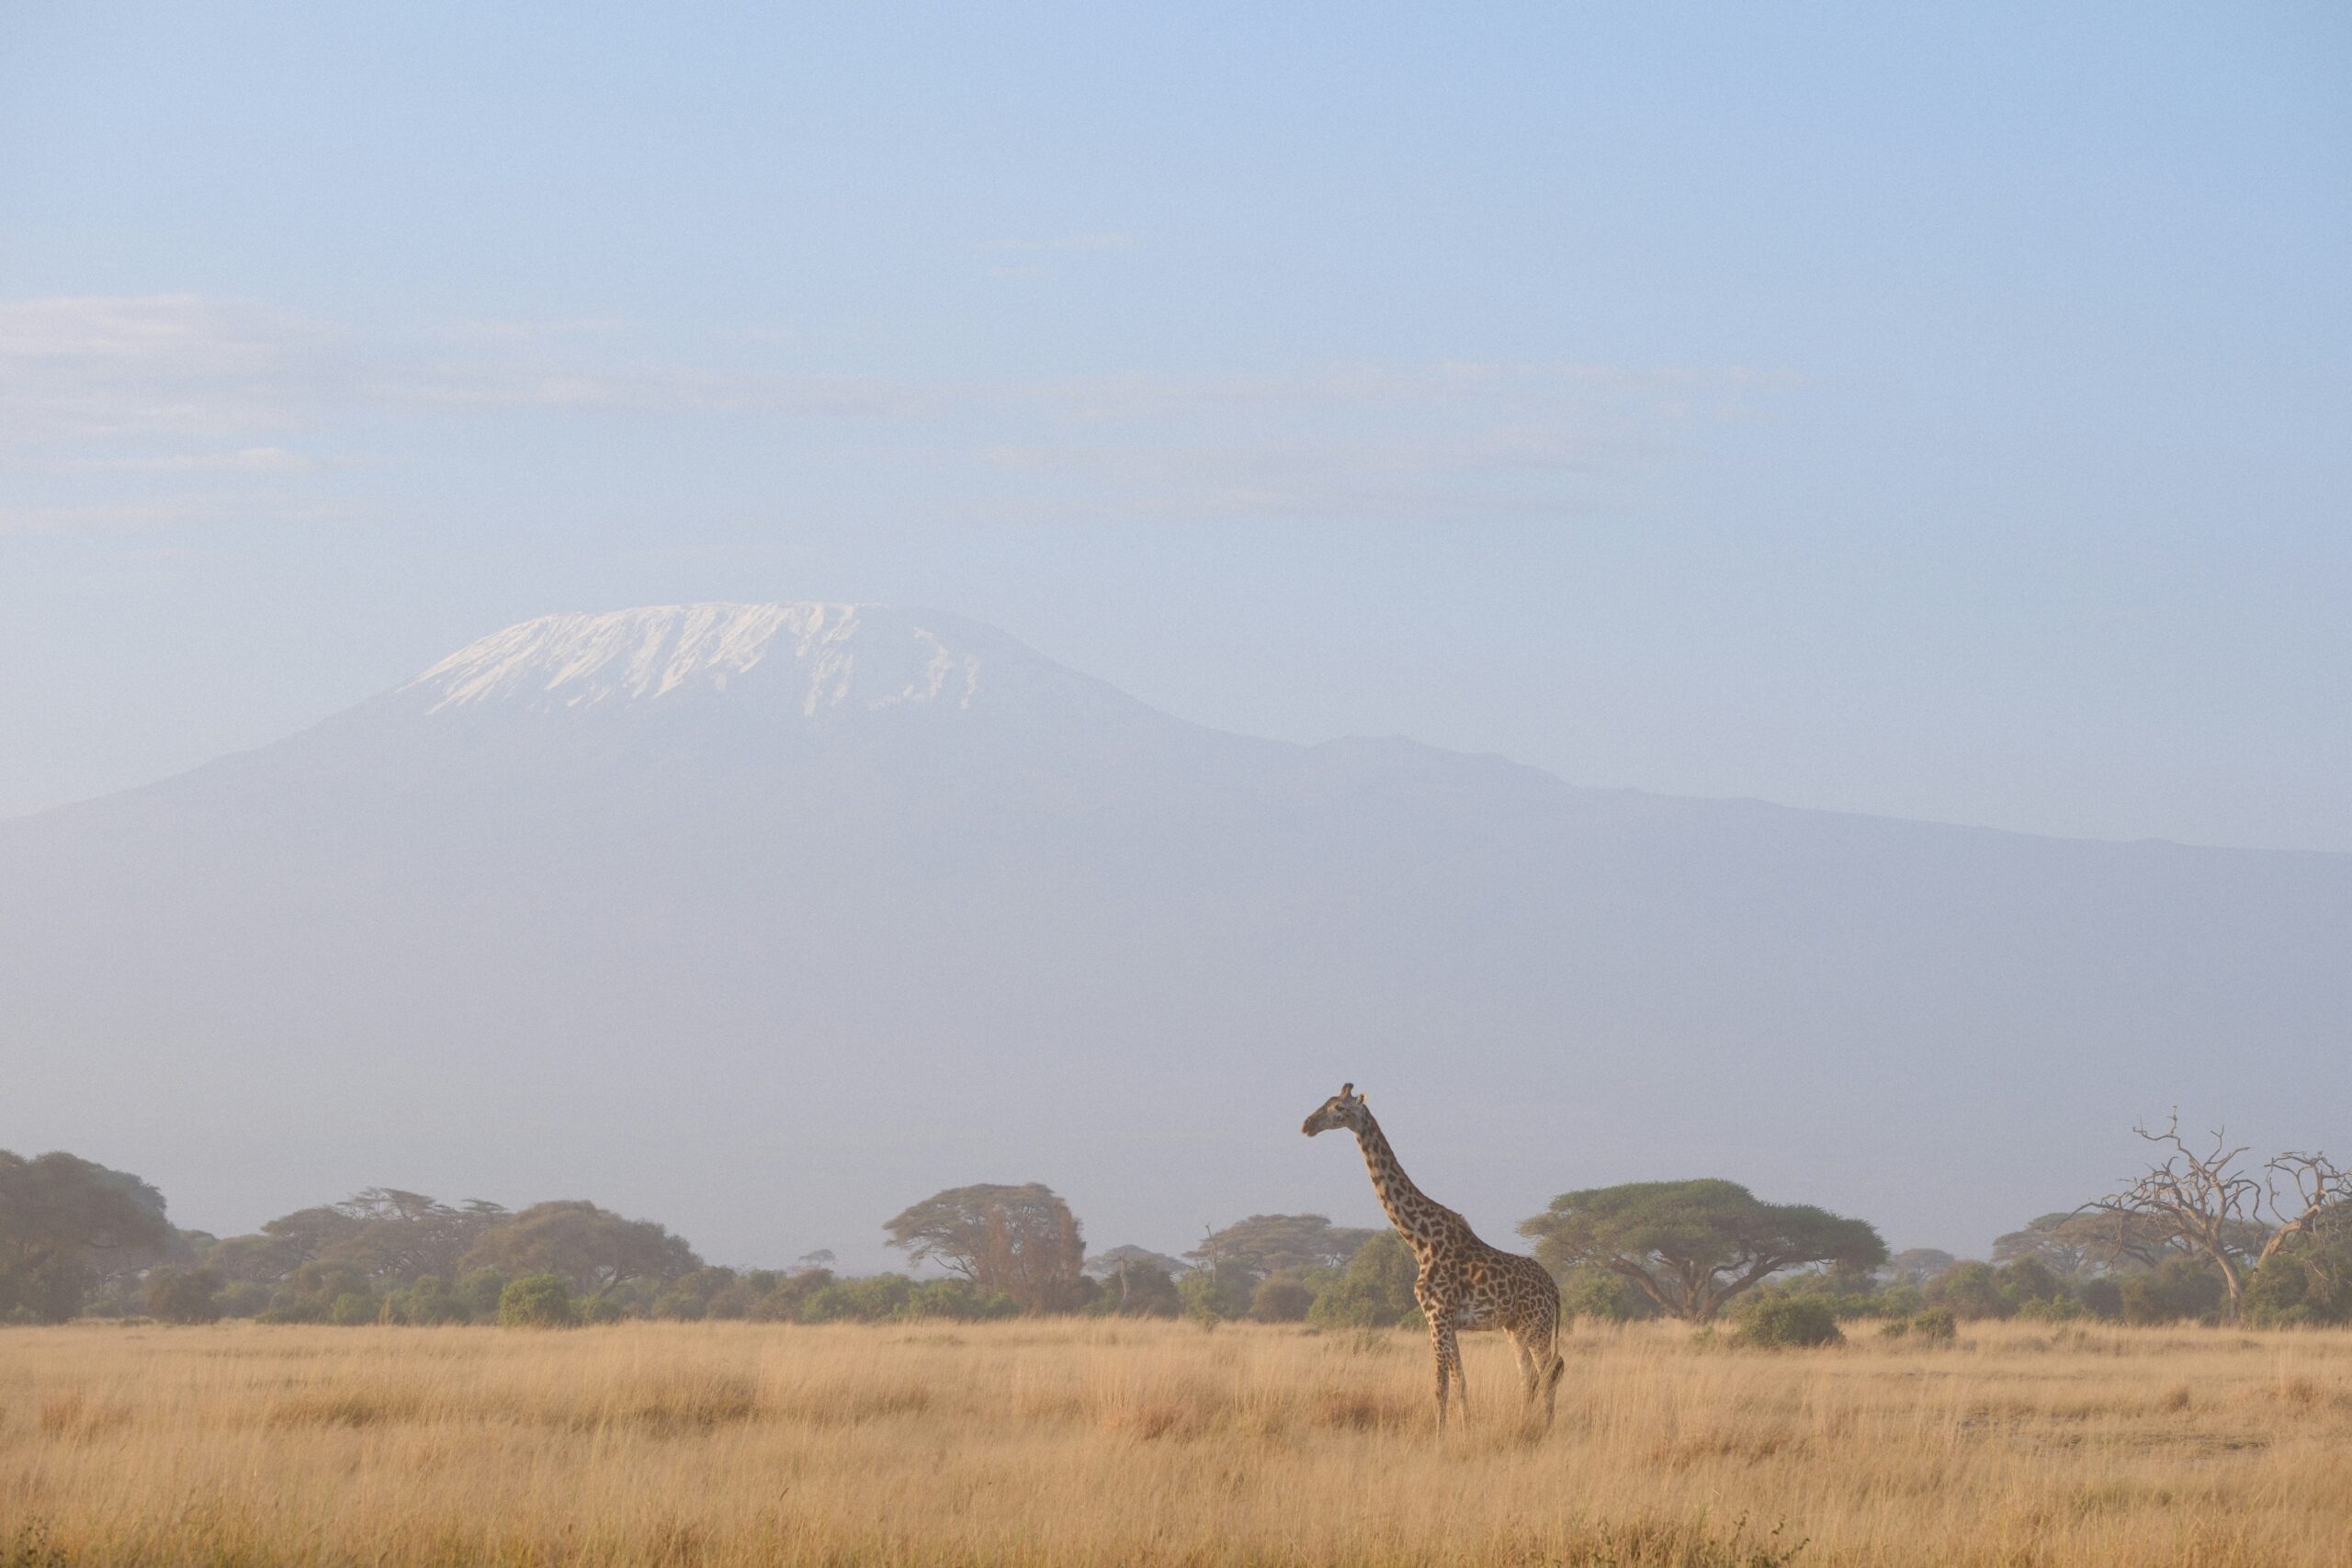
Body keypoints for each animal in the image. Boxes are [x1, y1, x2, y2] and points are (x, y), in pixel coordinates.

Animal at [1303, 1083, 1564, 1432]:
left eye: (1339, 1109)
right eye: (1327, 1102)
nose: (1307, 1125)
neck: (1420, 1239)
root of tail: (1554, 1289)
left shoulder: (1436, 1315)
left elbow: (1440, 1383)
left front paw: (1439, 1434)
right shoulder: (1446, 1319)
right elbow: (1460, 1380)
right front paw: (1464, 1427)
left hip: (1537, 1324)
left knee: (1549, 1371)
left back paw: (1545, 1428)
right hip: (1515, 1327)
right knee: (1530, 1376)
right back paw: (1525, 1424)